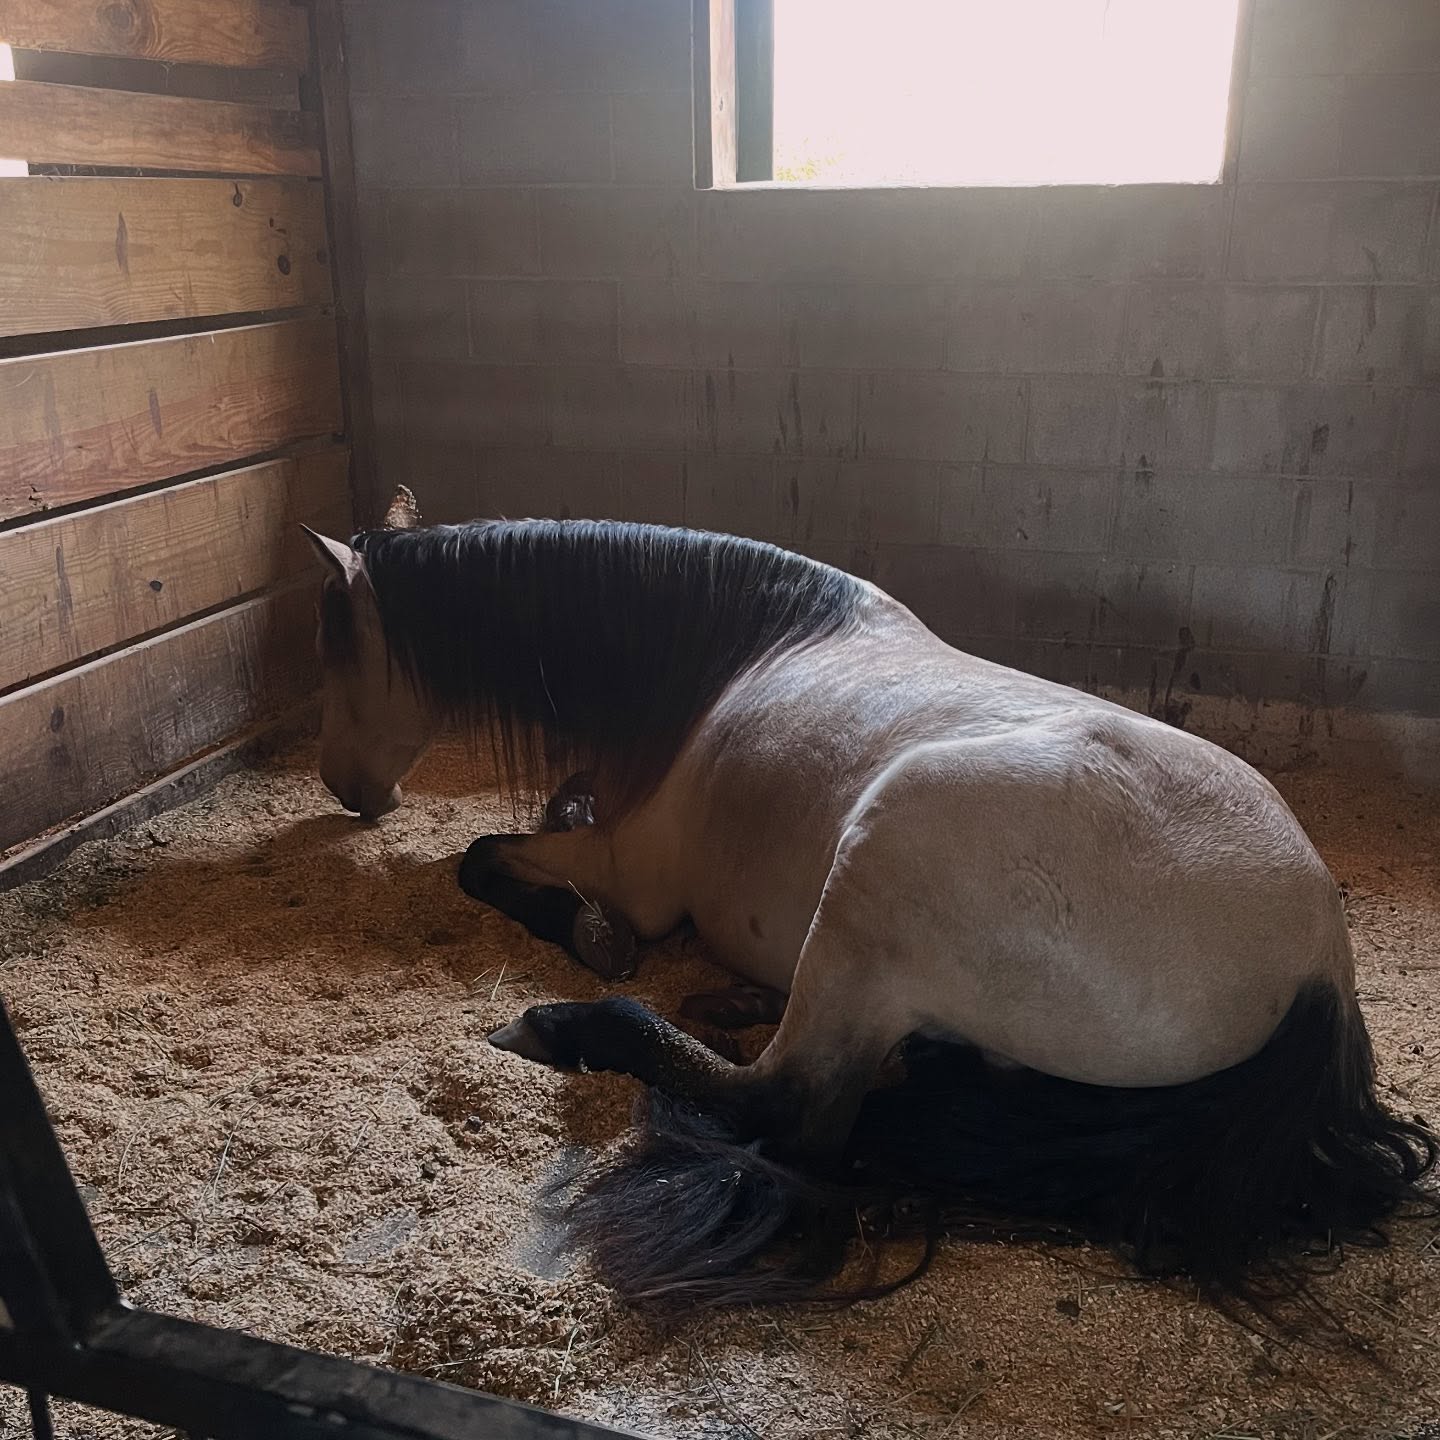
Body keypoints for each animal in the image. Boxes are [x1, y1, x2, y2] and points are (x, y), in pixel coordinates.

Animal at [302, 491, 1436, 1309]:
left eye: (336, 647)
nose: (346, 790)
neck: (729, 657)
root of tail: (1317, 969)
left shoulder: (634, 868)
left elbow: (484, 860)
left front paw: (593, 937)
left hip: (883, 856)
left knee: (792, 1104)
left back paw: (568, 1024)